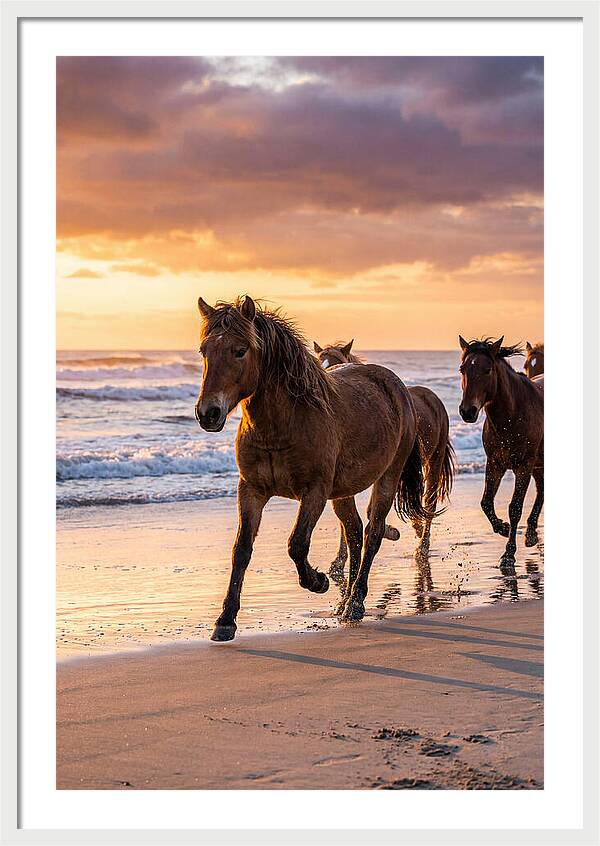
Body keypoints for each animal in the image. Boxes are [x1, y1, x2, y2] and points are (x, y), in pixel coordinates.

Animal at [195, 295, 430, 640]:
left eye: (240, 350)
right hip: (342, 493)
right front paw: (225, 621)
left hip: (387, 478)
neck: (283, 423)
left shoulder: (314, 492)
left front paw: (318, 582)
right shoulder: (251, 490)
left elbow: (296, 544)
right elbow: (242, 550)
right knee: (355, 533)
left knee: (372, 532)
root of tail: (398, 388)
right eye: (204, 351)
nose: (208, 413)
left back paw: (355, 602)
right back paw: (346, 602)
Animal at [314, 340, 455, 560]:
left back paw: (422, 546)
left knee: (429, 502)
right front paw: (339, 560)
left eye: (337, 361)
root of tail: (432, 397)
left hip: (434, 461)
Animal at [458, 336, 544, 564]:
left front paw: (508, 553)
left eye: (487, 369)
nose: (467, 411)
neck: (512, 415)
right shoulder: (495, 464)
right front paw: (502, 528)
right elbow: (486, 502)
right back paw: (531, 533)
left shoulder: (524, 466)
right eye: (462, 369)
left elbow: (514, 508)